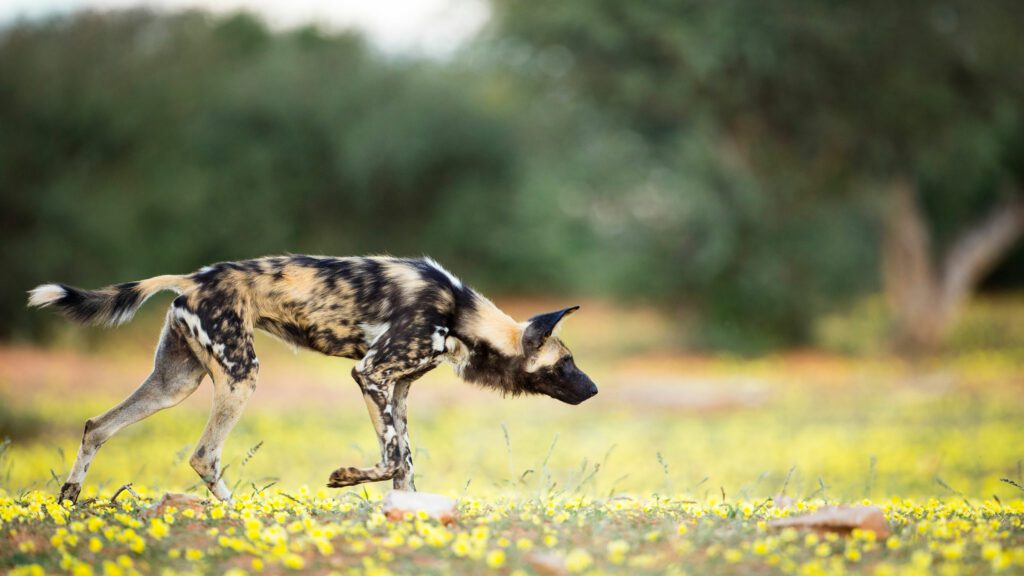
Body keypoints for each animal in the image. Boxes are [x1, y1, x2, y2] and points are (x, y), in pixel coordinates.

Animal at [29, 255, 598, 502]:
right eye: (567, 363)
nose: (593, 389)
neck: (460, 314)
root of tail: (192, 276)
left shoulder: (396, 390)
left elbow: (405, 463)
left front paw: (407, 518)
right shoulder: (370, 373)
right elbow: (392, 459)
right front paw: (344, 478)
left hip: (175, 384)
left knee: (98, 426)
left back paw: (68, 500)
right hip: (241, 376)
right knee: (203, 454)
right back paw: (239, 516)